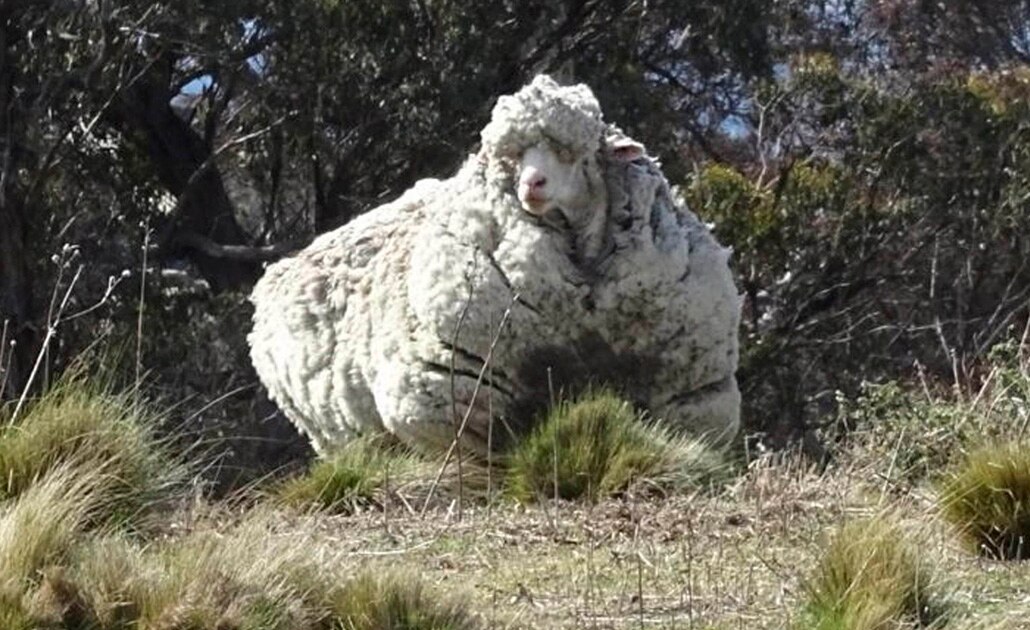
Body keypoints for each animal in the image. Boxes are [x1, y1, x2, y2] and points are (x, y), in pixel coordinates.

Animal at [248, 75, 741, 456]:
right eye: (512, 158)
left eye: (574, 153)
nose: (532, 185)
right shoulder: (453, 397)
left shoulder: (690, 394)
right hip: (338, 435)